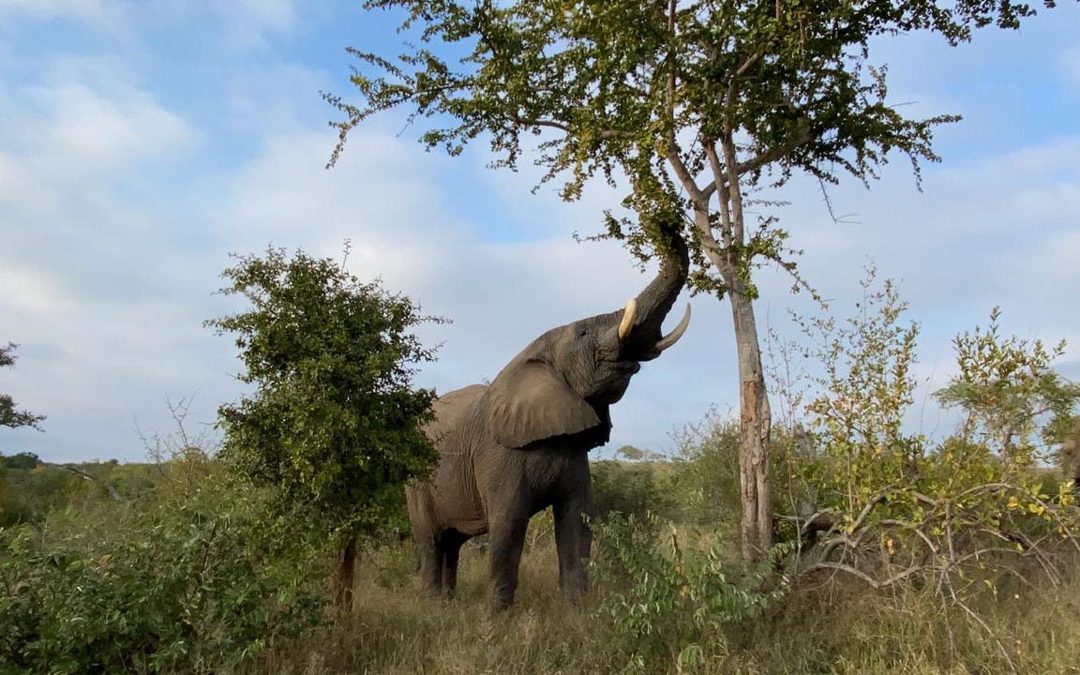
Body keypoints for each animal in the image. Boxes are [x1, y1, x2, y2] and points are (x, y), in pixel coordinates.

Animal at [406, 230, 690, 610]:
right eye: (583, 333)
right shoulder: (497, 453)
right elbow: (509, 523)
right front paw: (497, 618)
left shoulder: (574, 453)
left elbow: (576, 522)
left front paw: (576, 613)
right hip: (416, 482)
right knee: (431, 540)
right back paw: (432, 605)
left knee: (452, 543)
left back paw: (447, 604)